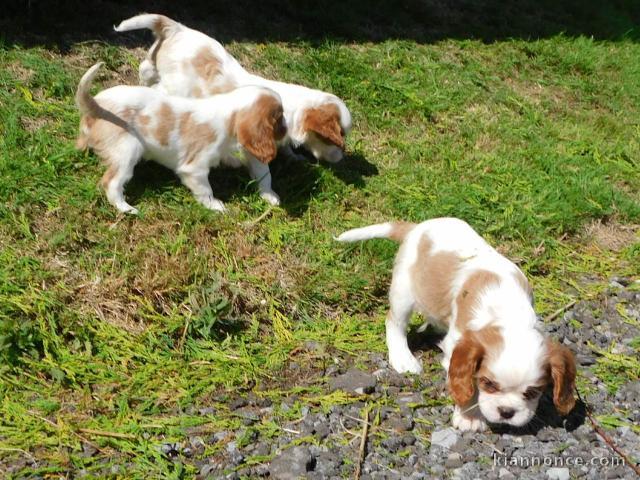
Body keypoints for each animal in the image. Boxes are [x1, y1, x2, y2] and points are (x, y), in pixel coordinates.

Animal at [74, 62, 284, 214]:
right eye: (279, 118)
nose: (285, 129)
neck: (229, 112)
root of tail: (97, 105)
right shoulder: (195, 168)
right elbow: (205, 190)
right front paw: (216, 205)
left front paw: (232, 162)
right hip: (127, 151)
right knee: (111, 182)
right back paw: (126, 208)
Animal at [113, 13, 352, 167]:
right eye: (336, 137)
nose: (341, 157)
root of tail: (178, 28)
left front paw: (293, 156)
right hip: (173, 84)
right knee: (157, 86)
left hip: (155, 60)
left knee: (145, 69)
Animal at [338, 218, 576, 432]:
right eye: (488, 383)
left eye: (533, 392)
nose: (506, 412)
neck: (507, 311)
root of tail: (416, 227)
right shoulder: (459, 345)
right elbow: (467, 387)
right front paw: (470, 418)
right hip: (404, 291)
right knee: (394, 323)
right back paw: (403, 358)